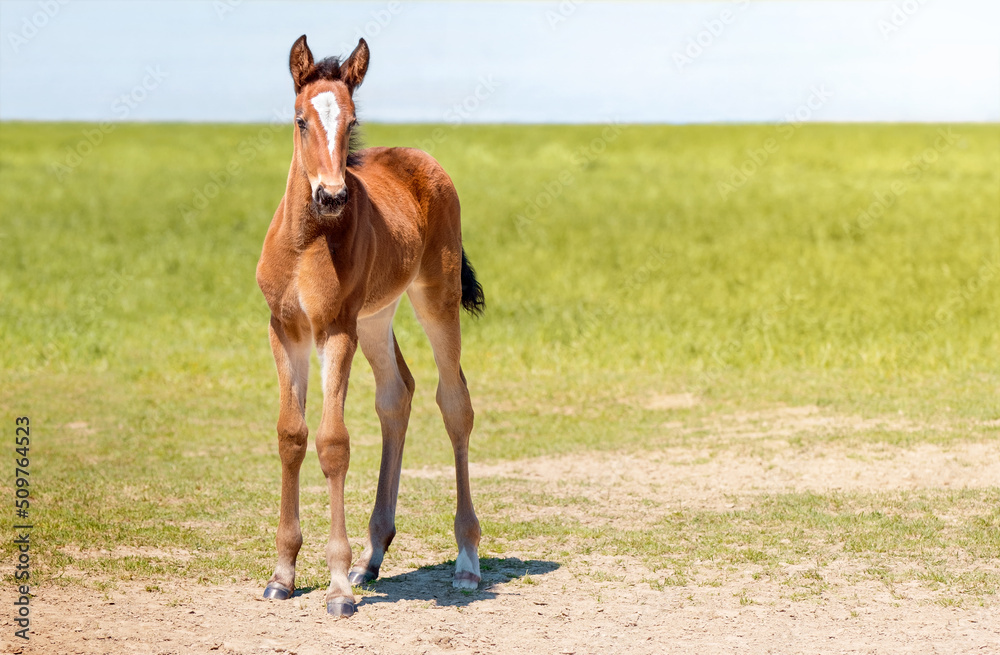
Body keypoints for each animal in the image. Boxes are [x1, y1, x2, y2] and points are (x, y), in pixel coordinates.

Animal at [255, 34, 485, 618]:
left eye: (352, 119)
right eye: (301, 120)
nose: (333, 195)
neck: (306, 242)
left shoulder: (335, 329)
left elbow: (333, 442)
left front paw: (337, 587)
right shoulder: (284, 329)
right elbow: (291, 434)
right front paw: (283, 574)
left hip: (434, 300)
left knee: (454, 403)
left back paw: (467, 561)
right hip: (377, 318)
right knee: (395, 395)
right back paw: (371, 555)